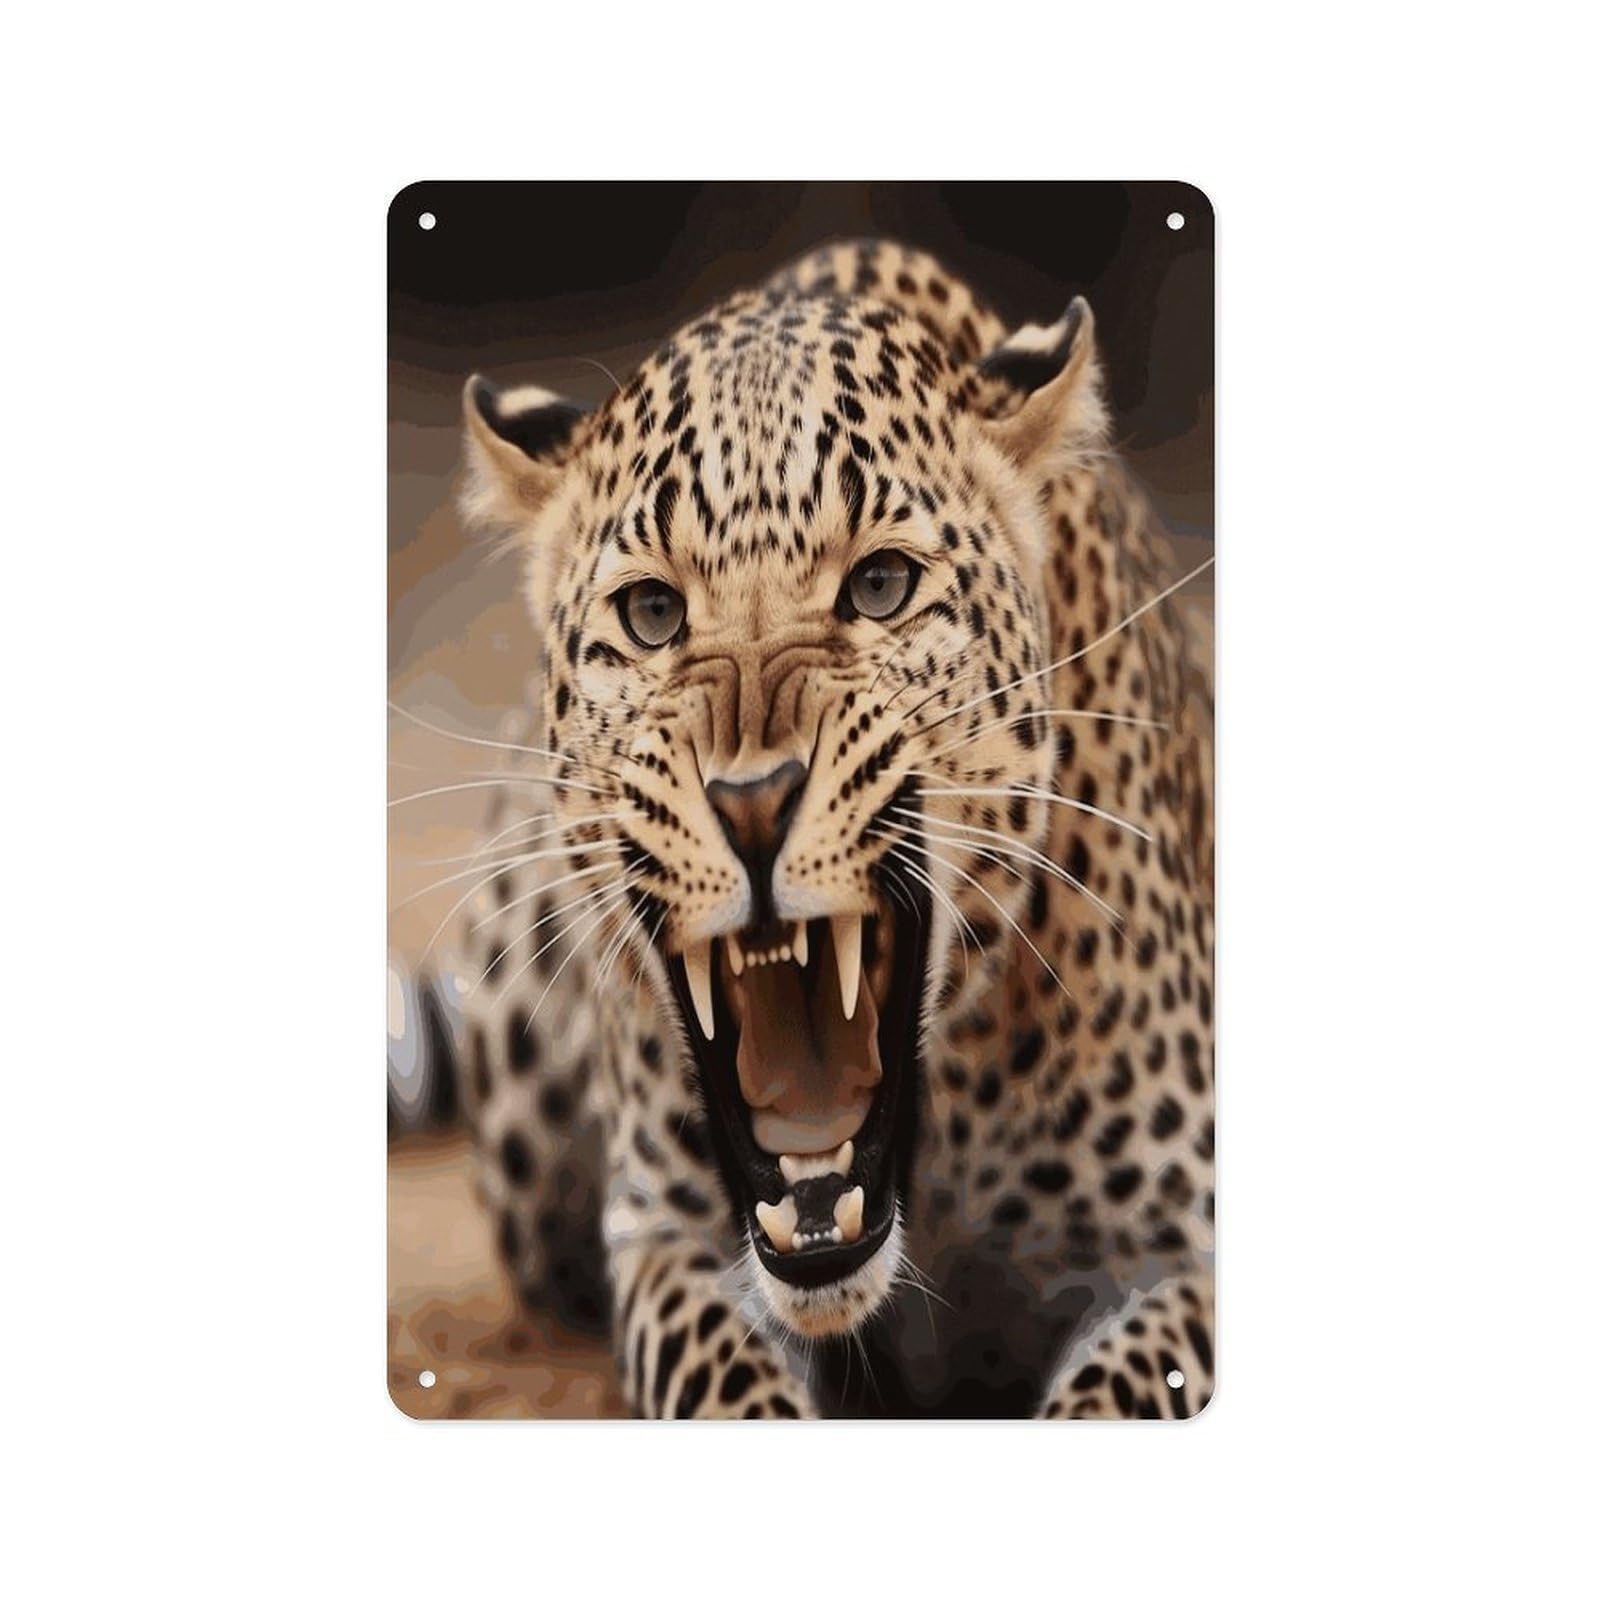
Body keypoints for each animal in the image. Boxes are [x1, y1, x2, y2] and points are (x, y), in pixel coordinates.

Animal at [428, 238, 1214, 1419]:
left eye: (880, 585)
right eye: (651, 614)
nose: (753, 800)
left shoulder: (1182, 1248)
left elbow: (1112, 1397)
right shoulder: (664, 1240)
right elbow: (726, 1388)